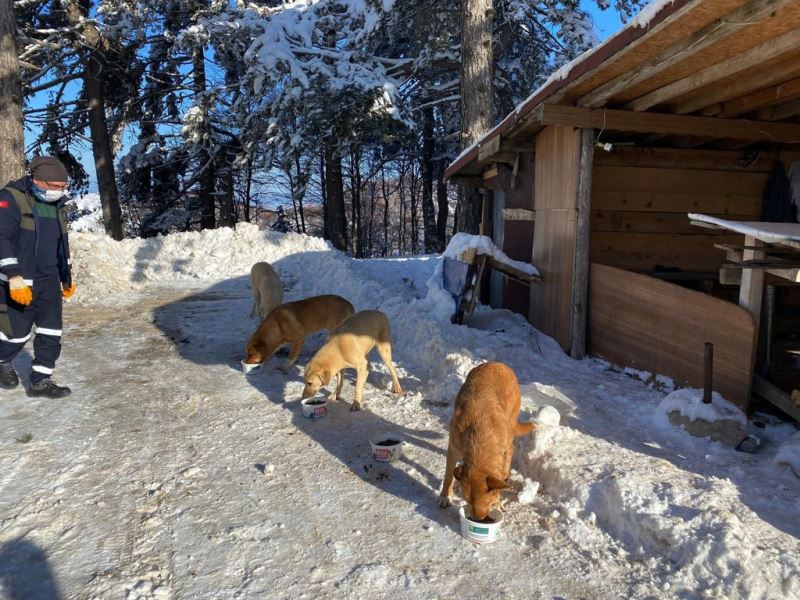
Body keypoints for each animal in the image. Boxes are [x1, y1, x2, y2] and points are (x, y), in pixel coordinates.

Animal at [440, 360, 536, 520]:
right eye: (468, 502)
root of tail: (497, 363)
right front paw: (445, 496)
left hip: (510, 424)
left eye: (487, 502)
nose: (479, 520)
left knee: (511, 449)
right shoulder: (453, 448)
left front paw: (498, 501)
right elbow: (448, 475)